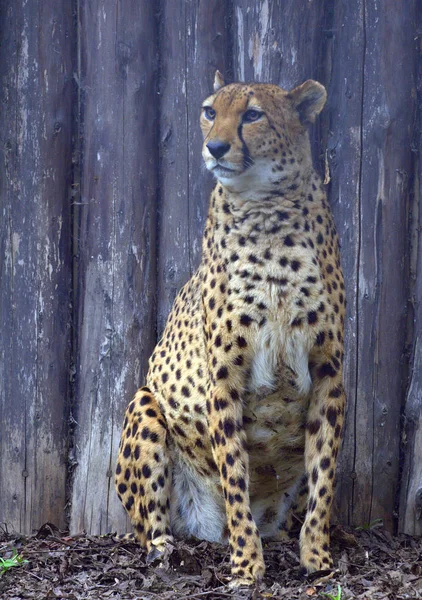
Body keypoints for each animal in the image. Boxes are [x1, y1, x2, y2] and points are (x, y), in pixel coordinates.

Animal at [115, 70, 346, 584]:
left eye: (253, 114)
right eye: (209, 110)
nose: (215, 147)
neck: (266, 210)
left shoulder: (329, 371)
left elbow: (324, 473)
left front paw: (317, 557)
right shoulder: (224, 378)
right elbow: (235, 475)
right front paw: (246, 564)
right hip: (144, 405)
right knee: (149, 526)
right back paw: (168, 550)